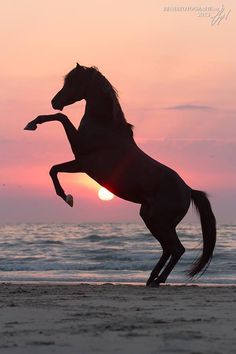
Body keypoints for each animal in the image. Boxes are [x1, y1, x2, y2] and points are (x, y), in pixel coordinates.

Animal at [24, 62, 217, 286]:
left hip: (160, 221)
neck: (106, 127)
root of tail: (188, 190)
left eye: (72, 81)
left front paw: (67, 197)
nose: (54, 102)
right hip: (151, 218)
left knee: (177, 248)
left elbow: (60, 124)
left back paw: (158, 280)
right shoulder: (81, 165)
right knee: (168, 248)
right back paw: (151, 278)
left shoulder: (81, 159)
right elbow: (53, 167)